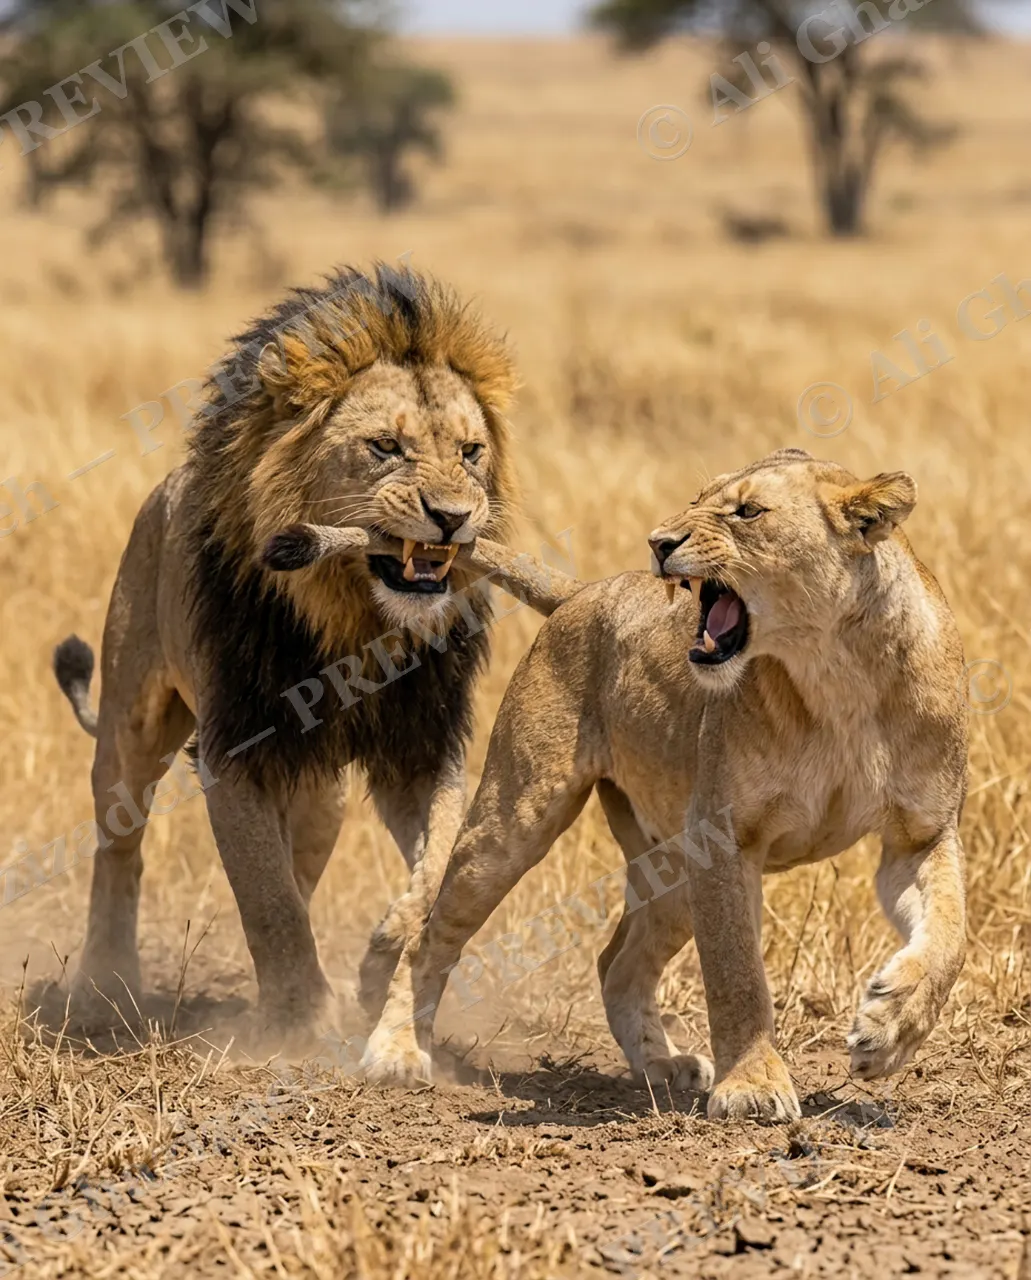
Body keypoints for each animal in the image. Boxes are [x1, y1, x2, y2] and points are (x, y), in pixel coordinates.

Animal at [52, 263, 578, 1044]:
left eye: (470, 452)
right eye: (385, 447)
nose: (454, 518)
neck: (354, 617)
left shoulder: (422, 750)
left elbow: (432, 870)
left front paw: (377, 972)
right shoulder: (234, 748)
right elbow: (267, 900)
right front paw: (299, 1023)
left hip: (319, 791)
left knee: (296, 861)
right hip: (130, 722)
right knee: (120, 846)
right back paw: (103, 986)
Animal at [353, 448, 969, 1120]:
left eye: (747, 512)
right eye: (698, 500)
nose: (659, 542)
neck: (837, 675)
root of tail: (583, 591)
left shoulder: (919, 837)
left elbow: (950, 937)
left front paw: (886, 1033)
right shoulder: (723, 840)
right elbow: (736, 974)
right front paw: (753, 1087)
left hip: (670, 869)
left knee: (618, 963)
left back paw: (662, 1065)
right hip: (513, 820)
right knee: (430, 935)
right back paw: (395, 1052)